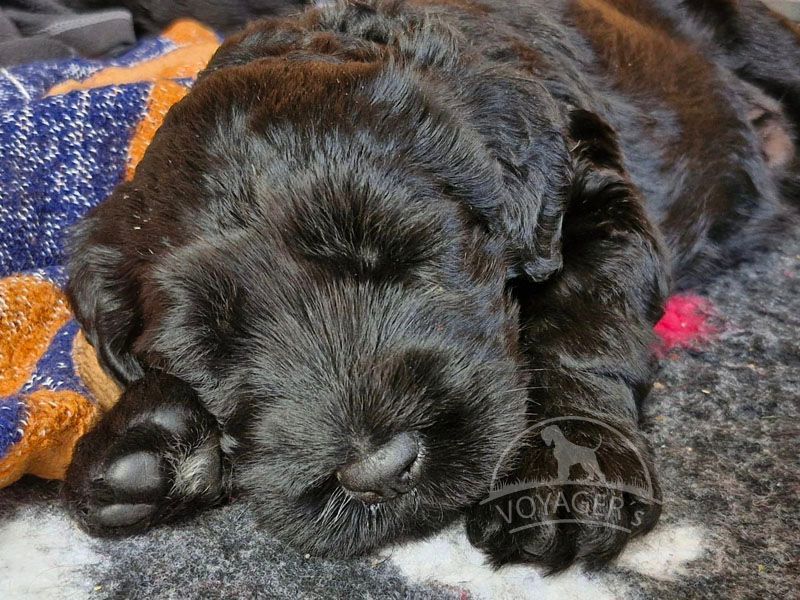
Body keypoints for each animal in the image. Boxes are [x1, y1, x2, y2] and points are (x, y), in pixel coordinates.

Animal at [61, 0, 800, 572]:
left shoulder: (591, 185)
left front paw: (566, 467)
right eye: (210, 349)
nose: (382, 469)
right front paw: (147, 442)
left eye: (403, 250)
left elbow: (580, 317)